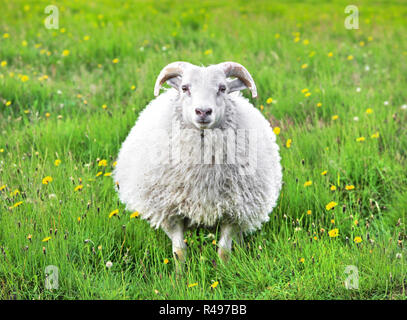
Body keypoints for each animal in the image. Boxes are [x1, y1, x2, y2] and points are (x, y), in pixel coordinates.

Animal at [113, 61, 282, 264]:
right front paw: (179, 273)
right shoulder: (170, 213)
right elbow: (179, 251)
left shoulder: (233, 212)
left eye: (222, 88)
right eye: (185, 88)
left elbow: (224, 251)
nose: (203, 111)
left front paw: (224, 270)